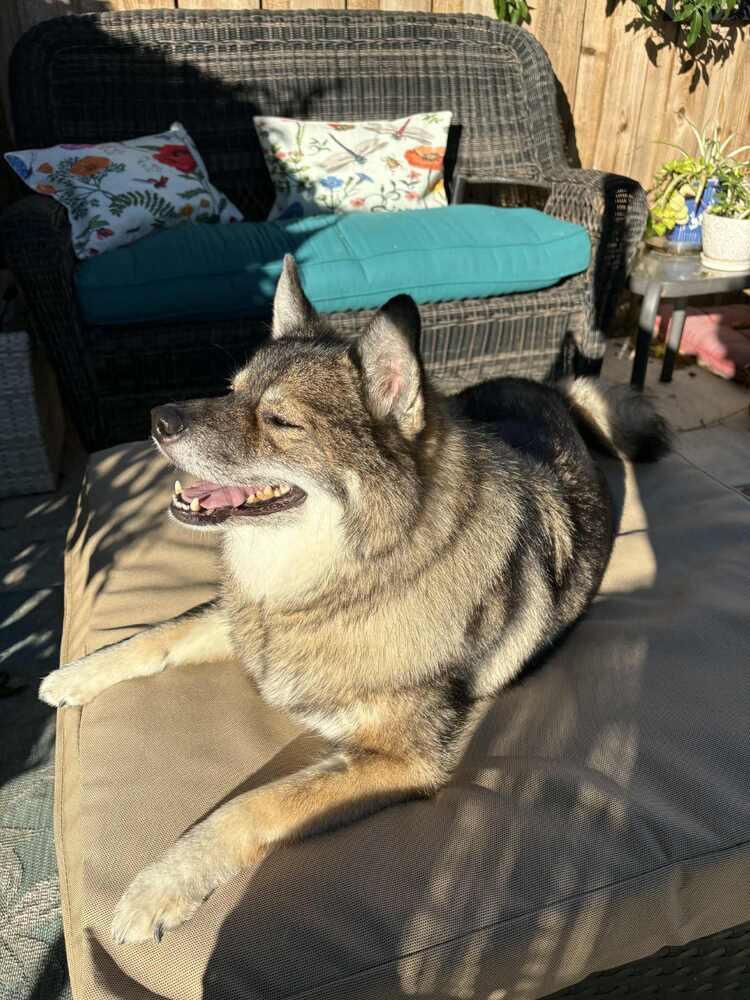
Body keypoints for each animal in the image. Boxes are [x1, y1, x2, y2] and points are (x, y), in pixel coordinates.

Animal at [40, 256, 670, 945]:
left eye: (281, 422)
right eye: (231, 391)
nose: (159, 420)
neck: (350, 582)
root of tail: (548, 388)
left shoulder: (403, 761)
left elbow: (253, 804)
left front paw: (163, 884)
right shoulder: (238, 620)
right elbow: (158, 634)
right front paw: (75, 675)